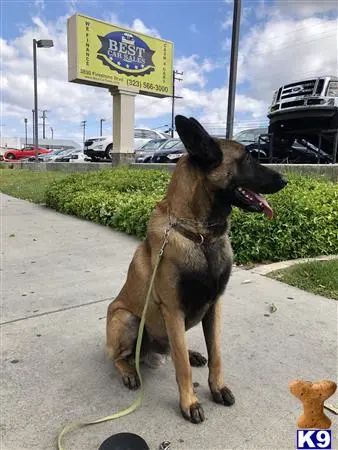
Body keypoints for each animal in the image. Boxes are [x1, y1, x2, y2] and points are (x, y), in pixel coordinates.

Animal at [106, 114, 288, 424]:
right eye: (247, 157)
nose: (285, 179)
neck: (201, 236)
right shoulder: (173, 310)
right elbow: (182, 369)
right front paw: (189, 402)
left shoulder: (214, 306)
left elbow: (216, 354)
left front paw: (218, 387)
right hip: (126, 318)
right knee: (121, 357)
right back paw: (129, 372)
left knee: (173, 347)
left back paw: (191, 353)